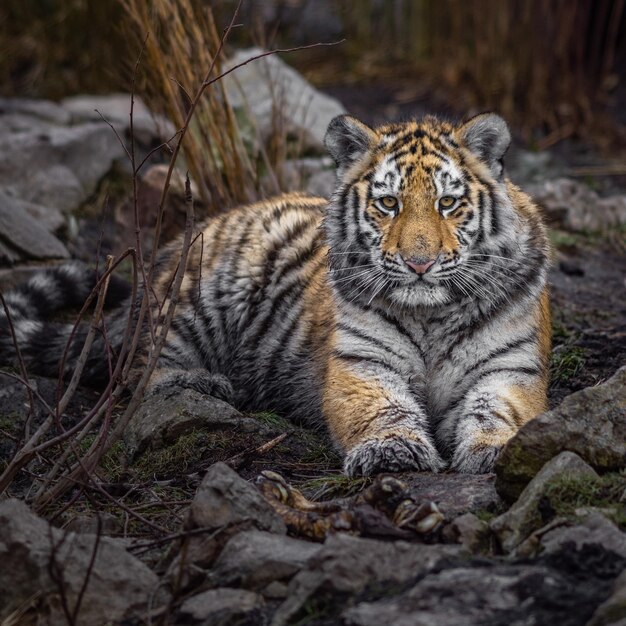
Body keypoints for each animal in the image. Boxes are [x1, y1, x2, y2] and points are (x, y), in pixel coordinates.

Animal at [0, 112, 544, 472]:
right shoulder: (360, 364)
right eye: (388, 203)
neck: (430, 314)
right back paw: (201, 383)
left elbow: (498, 410)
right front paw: (393, 451)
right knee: (138, 369)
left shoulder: (512, 367)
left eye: (448, 203)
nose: (419, 263)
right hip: (199, 302)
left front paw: (499, 450)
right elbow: (383, 406)